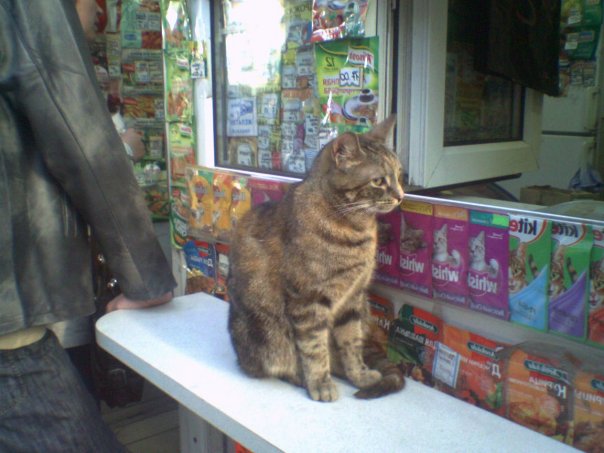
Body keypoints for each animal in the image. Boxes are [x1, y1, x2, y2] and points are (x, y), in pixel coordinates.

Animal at [227, 116, 405, 402]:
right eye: (378, 181)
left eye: (399, 175)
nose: (401, 196)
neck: (356, 228)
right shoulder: (308, 300)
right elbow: (314, 349)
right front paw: (320, 382)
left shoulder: (352, 300)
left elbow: (351, 344)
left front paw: (359, 374)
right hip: (264, 335)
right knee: (281, 362)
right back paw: (301, 378)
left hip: (364, 307)